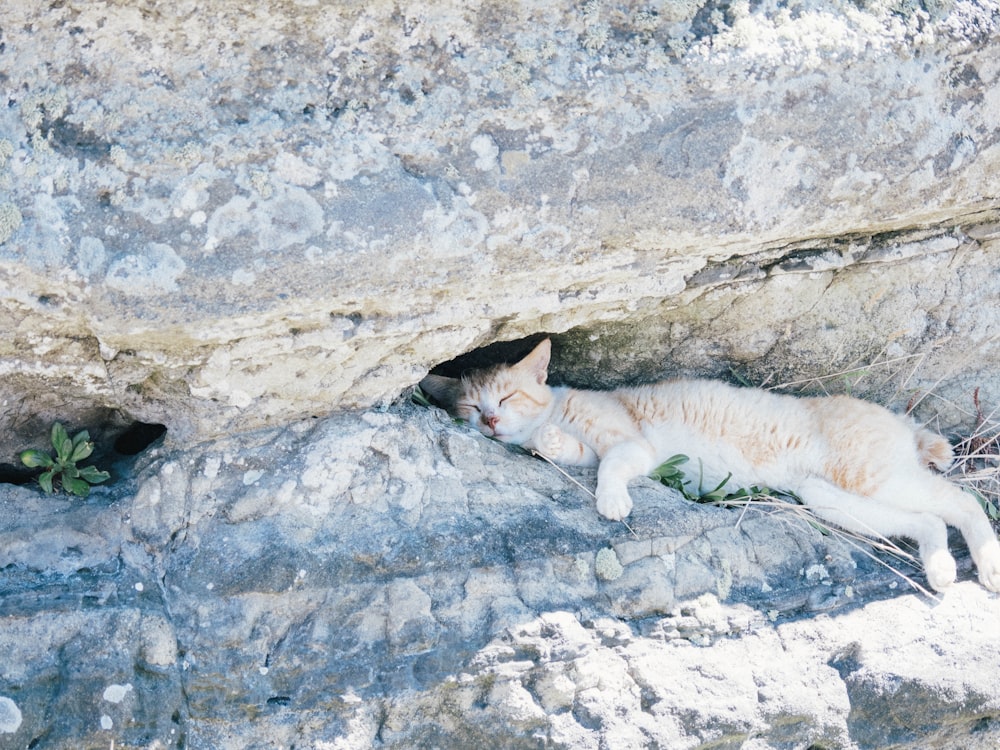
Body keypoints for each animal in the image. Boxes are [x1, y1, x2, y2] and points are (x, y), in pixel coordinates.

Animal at [420, 340, 1000, 592]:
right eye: (470, 407)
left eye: (507, 396)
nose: (492, 421)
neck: (557, 409)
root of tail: (895, 417)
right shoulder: (592, 447)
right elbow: (569, 451)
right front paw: (549, 444)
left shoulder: (632, 445)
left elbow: (610, 467)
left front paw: (612, 500)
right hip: (833, 500)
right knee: (929, 521)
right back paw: (940, 568)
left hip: (872, 476)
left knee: (963, 501)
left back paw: (988, 566)